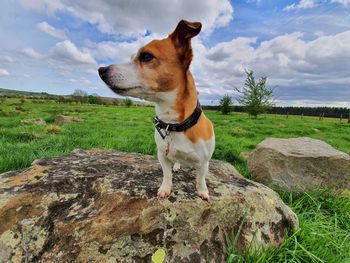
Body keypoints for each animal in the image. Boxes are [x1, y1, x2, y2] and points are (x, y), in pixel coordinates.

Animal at [97, 20, 215, 201]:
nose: (101, 70)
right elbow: (167, 174)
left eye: (146, 56)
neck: (173, 124)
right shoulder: (162, 156)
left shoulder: (203, 163)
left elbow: (200, 178)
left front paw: (202, 191)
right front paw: (165, 188)